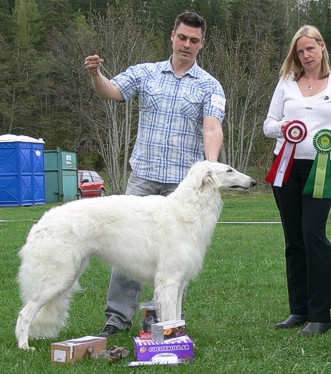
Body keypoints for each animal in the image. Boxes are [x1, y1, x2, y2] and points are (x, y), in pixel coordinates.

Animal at [14, 161, 256, 350]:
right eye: (229, 170)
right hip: (57, 278)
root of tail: (40, 224)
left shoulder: (179, 281)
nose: (253, 182)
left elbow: (177, 315)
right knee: (24, 314)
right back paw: (24, 346)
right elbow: (170, 317)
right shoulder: (168, 280)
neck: (187, 209)